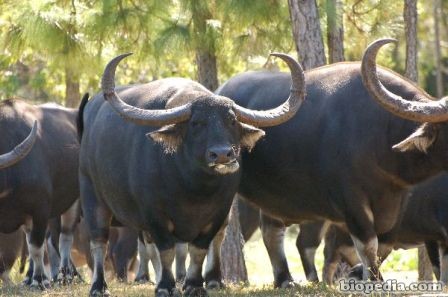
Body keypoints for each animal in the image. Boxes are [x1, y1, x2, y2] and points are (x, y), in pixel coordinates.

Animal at [0, 99, 82, 286]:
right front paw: (36, 278)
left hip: (73, 202)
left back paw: (65, 275)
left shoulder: (39, 211)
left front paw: (39, 280)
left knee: (65, 237)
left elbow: (36, 247)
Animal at [79, 52, 304, 294]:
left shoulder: (217, 214)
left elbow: (197, 250)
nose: (222, 154)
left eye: (232, 121)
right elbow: (166, 250)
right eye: (196, 123)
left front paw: (194, 285)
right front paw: (166, 286)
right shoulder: (154, 215)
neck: (193, 188)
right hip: (93, 198)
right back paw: (99, 286)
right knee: (99, 243)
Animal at [216, 39, 448, 282]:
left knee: (273, 231)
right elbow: (368, 247)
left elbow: (381, 247)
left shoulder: (399, 203)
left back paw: (286, 280)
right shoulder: (353, 202)